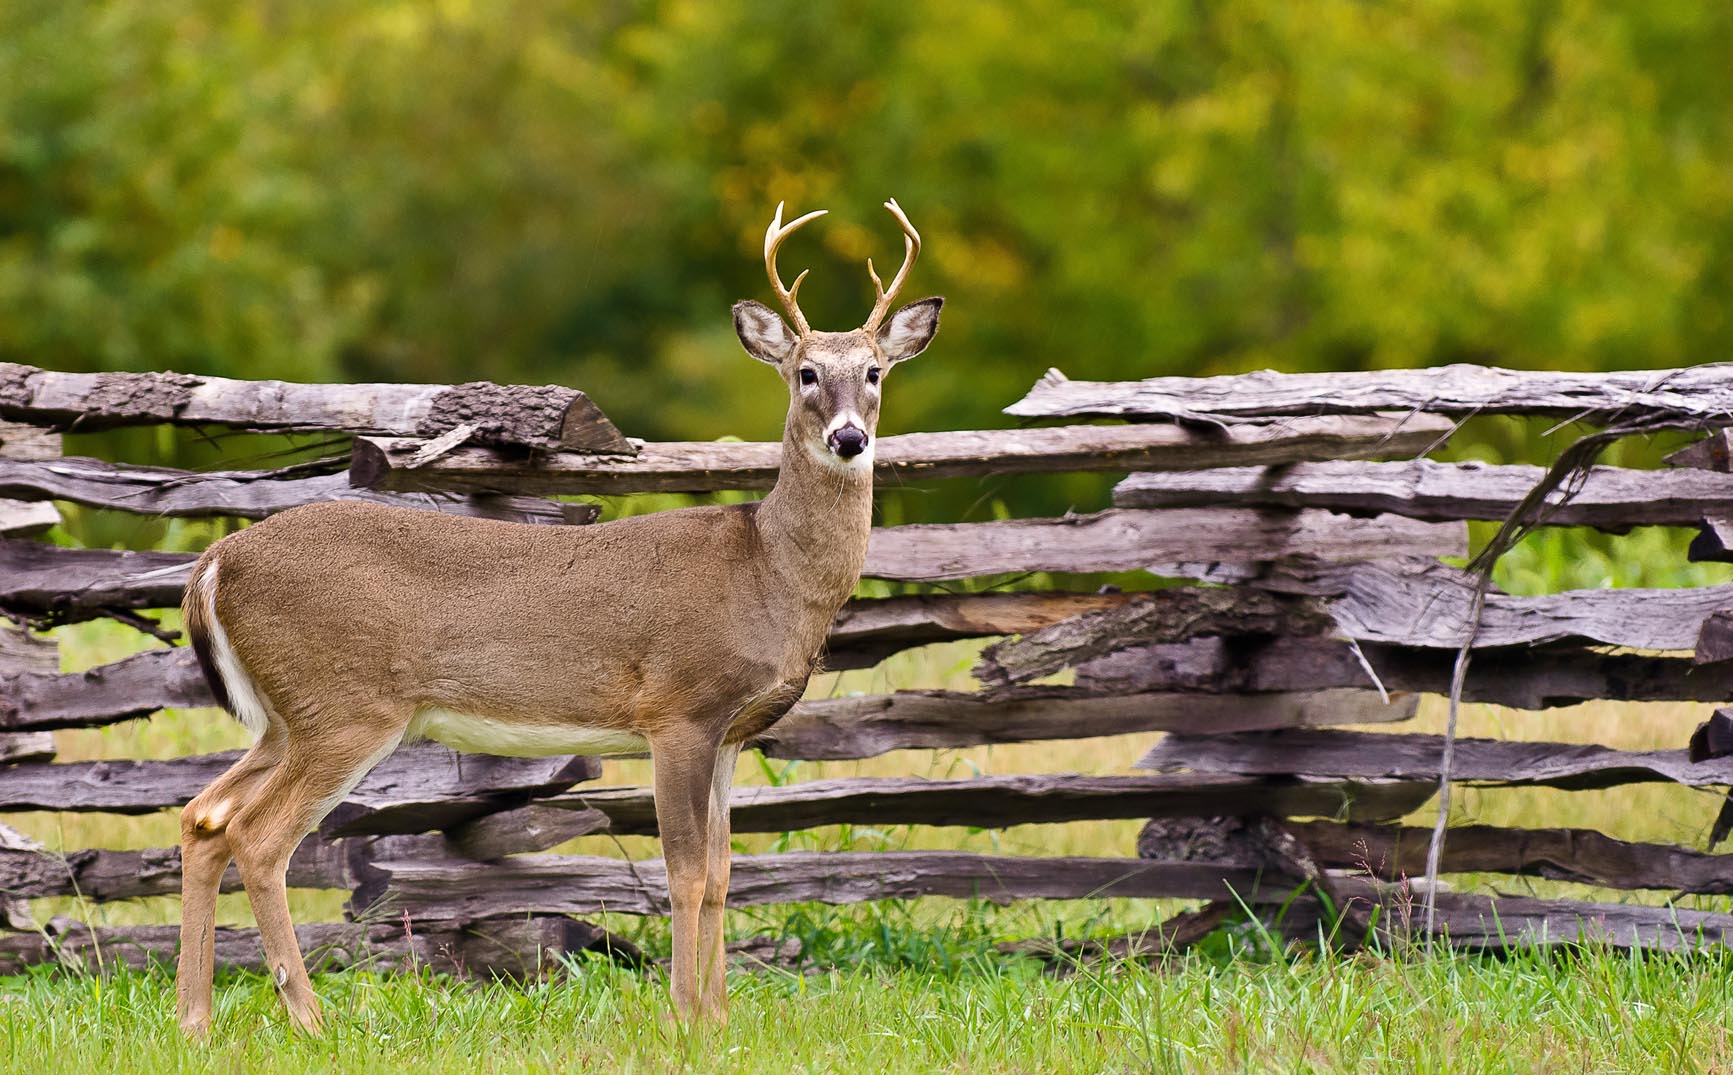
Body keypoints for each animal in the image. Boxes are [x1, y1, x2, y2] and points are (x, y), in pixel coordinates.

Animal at [173, 201, 942, 1036]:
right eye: (805, 373)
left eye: (874, 372)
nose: (849, 436)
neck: (766, 571)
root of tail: (216, 561)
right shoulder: (677, 707)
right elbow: (683, 870)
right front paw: (683, 1016)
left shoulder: (732, 732)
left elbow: (723, 871)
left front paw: (718, 1017)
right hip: (344, 703)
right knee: (257, 835)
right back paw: (310, 1019)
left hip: (285, 715)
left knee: (203, 816)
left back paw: (194, 1021)